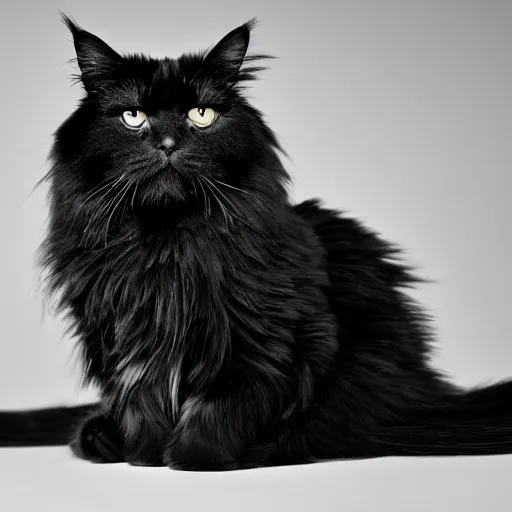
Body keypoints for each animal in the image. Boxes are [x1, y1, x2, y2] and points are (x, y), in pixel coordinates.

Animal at [1, 15, 512, 472]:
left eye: (201, 115)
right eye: (133, 116)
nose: (167, 143)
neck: (169, 247)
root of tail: (429, 394)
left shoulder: (266, 338)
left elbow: (223, 406)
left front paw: (192, 459)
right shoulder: (126, 336)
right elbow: (141, 398)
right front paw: (144, 456)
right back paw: (103, 437)